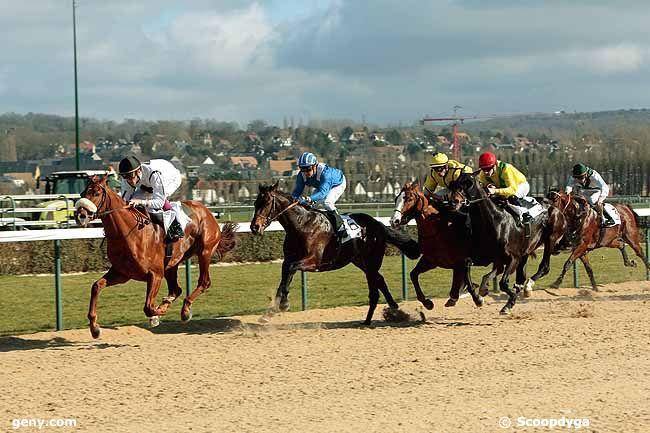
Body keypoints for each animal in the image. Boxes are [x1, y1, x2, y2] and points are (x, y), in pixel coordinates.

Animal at [75, 176, 237, 338]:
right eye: (83, 193)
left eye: (96, 193)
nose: (81, 216)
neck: (128, 233)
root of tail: (207, 211)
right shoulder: (122, 273)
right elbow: (96, 286)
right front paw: (94, 328)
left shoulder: (155, 274)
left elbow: (148, 307)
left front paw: (157, 314)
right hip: (172, 264)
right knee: (176, 289)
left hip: (205, 251)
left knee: (204, 282)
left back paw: (185, 310)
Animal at [248, 182, 420, 324]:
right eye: (256, 203)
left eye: (267, 202)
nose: (254, 227)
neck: (302, 225)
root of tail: (377, 223)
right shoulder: (289, 259)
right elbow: (285, 278)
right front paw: (270, 311)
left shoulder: (313, 261)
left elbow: (290, 269)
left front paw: (283, 305)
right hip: (360, 261)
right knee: (380, 280)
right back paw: (392, 309)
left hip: (371, 260)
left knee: (376, 285)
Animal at [448, 172, 564, 314]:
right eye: (455, 182)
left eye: (468, 183)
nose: (454, 201)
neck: (494, 221)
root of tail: (553, 205)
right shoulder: (483, 257)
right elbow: (467, 271)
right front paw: (478, 299)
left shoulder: (514, 258)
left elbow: (503, 283)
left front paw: (509, 304)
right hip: (525, 250)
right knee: (515, 275)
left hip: (550, 239)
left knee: (544, 267)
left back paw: (528, 287)